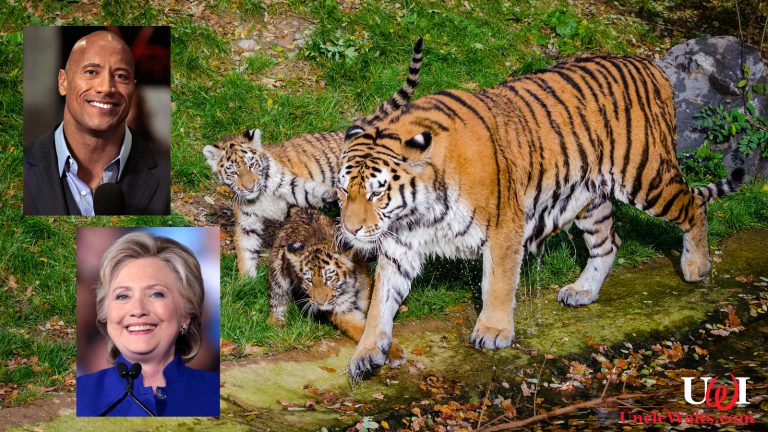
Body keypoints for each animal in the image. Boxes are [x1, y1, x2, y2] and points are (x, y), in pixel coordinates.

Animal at [203, 37, 424, 276]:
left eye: (252, 164)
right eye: (233, 171)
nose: (250, 186)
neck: (260, 196)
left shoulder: (293, 187)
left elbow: (311, 191)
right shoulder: (246, 222)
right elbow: (245, 250)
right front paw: (247, 281)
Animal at [270, 207, 405, 366]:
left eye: (329, 278)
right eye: (309, 280)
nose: (320, 302)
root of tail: (301, 210)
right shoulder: (342, 310)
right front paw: (393, 352)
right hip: (278, 271)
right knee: (277, 296)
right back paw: (276, 322)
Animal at [336, 55, 745, 380]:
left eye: (377, 191)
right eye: (342, 190)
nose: (350, 229)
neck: (416, 213)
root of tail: (650, 65)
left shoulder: (504, 227)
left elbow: (497, 284)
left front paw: (493, 331)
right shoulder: (399, 247)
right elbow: (380, 303)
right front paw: (366, 353)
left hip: (646, 177)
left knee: (694, 206)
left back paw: (696, 267)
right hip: (590, 198)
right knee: (609, 243)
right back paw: (583, 290)